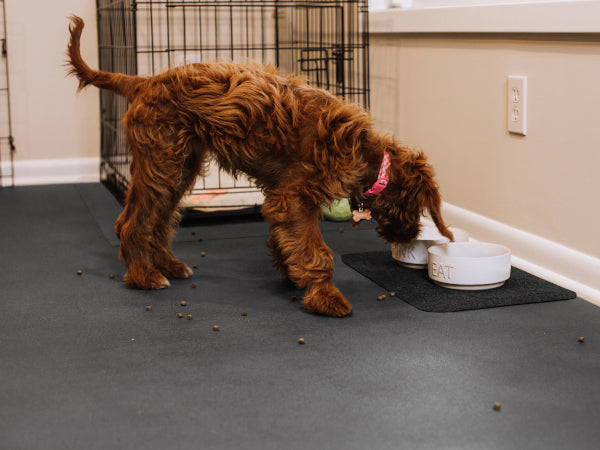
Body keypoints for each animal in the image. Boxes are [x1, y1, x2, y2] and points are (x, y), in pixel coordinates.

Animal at [67, 16, 450, 316]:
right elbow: (316, 252)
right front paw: (325, 296)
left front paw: (291, 272)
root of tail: (144, 81)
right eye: (418, 208)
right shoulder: (293, 198)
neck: (366, 154)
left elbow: (288, 240)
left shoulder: (281, 198)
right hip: (163, 163)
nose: (410, 236)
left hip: (179, 167)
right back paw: (143, 277)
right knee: (132, 223)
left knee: (158, 223)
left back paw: (169, 266)